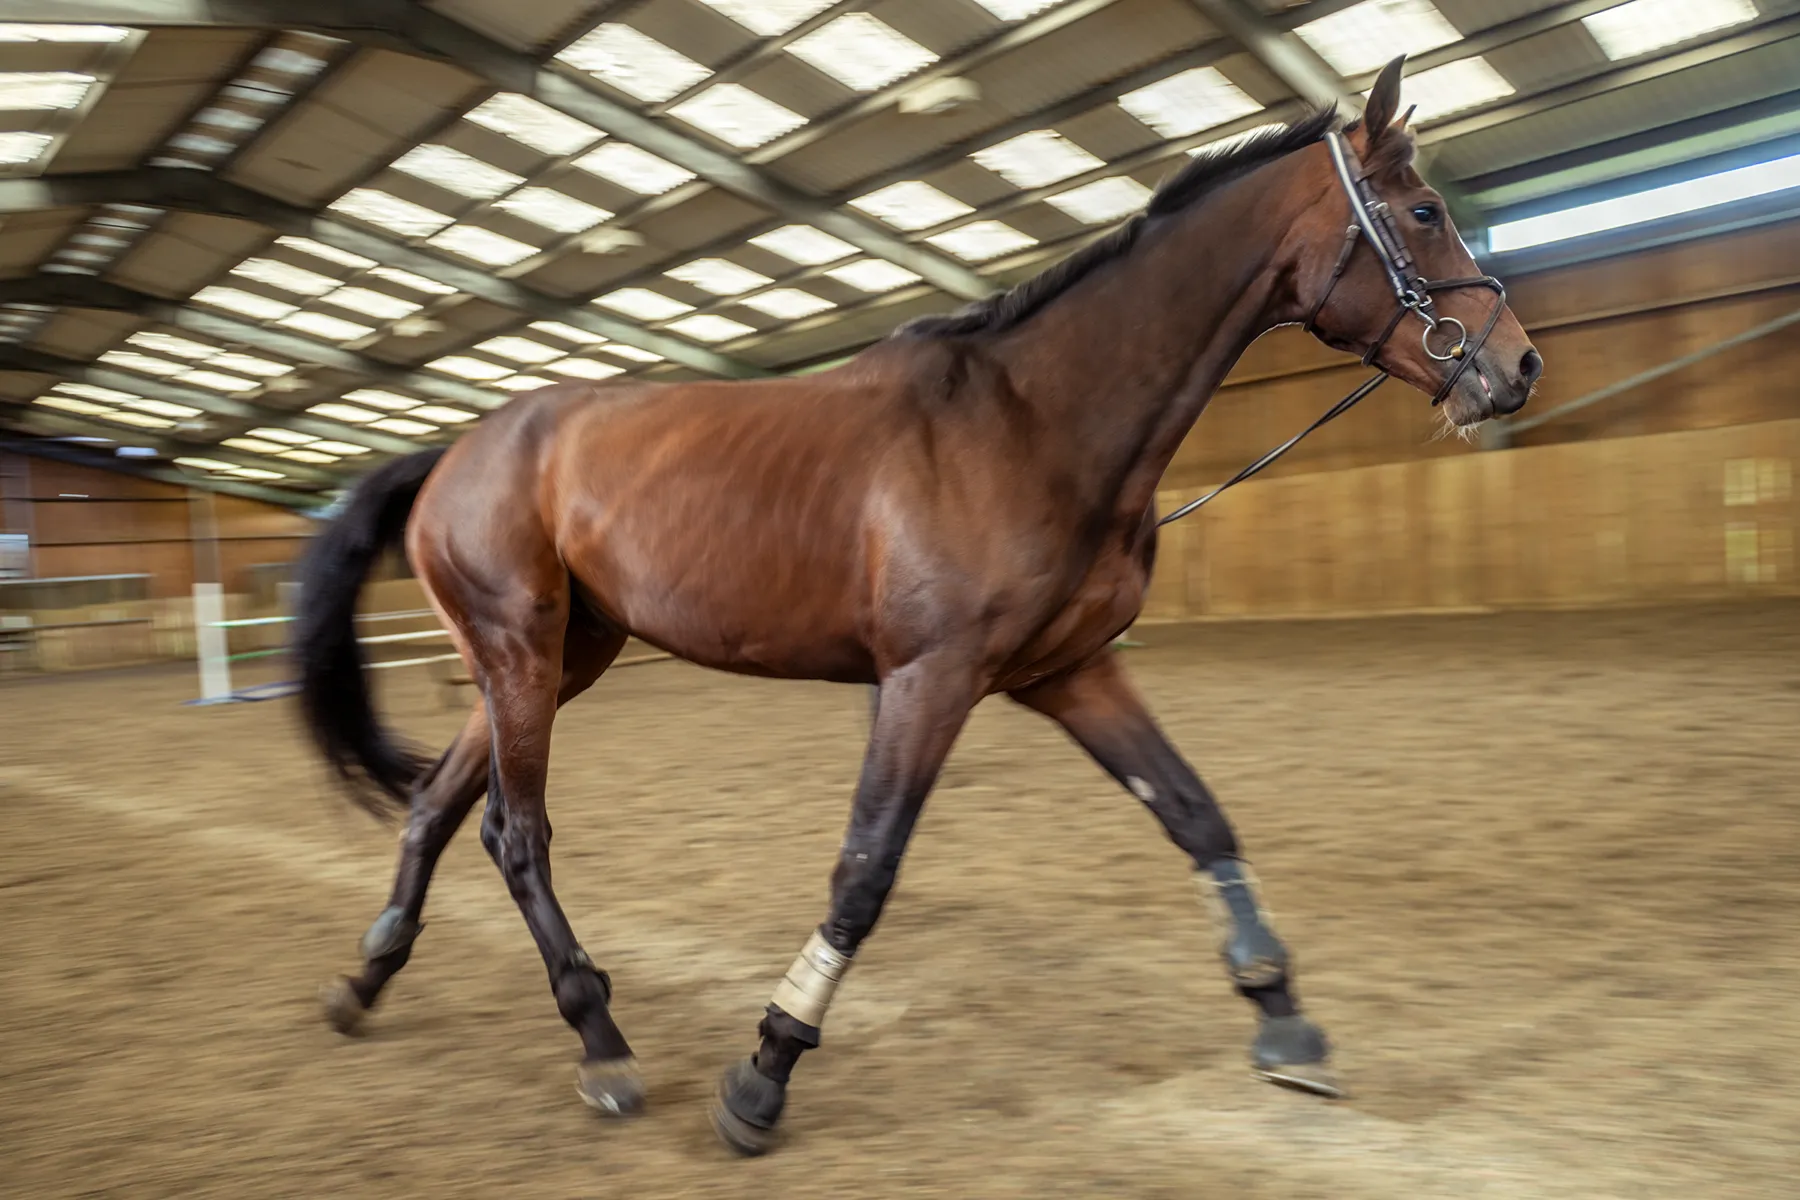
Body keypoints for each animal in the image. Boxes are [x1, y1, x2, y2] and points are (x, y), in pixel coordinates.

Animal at [295, 57, 1541, 1155]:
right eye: (1424, 210)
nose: (1516, 369)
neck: (1032, 422)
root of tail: (457, 449)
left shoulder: (1070, 671)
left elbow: (1197, 816)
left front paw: (1285, 1020)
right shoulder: (928, 680)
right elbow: (865, 870)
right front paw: (764, 1072)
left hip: (560, 656)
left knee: (439, 808)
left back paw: (365, 980)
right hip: (521, 652)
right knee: (516, 832)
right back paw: (599, 1041)